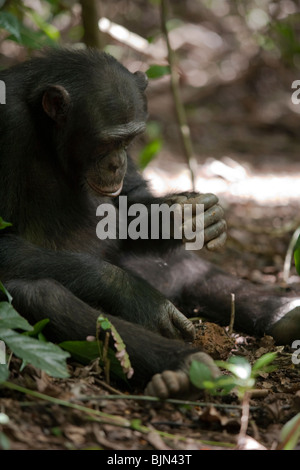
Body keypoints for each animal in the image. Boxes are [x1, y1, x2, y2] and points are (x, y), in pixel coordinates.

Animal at [0, 48, 300, 396]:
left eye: (128, 140)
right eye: (106, 142)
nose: (117, 163)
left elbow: (129, 196)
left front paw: (177, 220)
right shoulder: (8, 124)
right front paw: (137, 297)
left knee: (188, 269)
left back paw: (287, 315)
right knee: (41, 297)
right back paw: (182, 368)